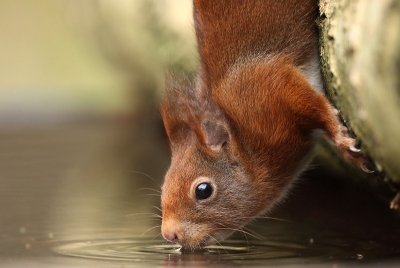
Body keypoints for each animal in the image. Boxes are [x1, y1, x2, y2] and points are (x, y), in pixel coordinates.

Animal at [159, 0, 368, 248]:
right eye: (164, 185)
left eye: (203, 190)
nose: (169, 235)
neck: (244, 136)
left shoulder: (268, 85)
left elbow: (312, 103)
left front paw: (340, 138)